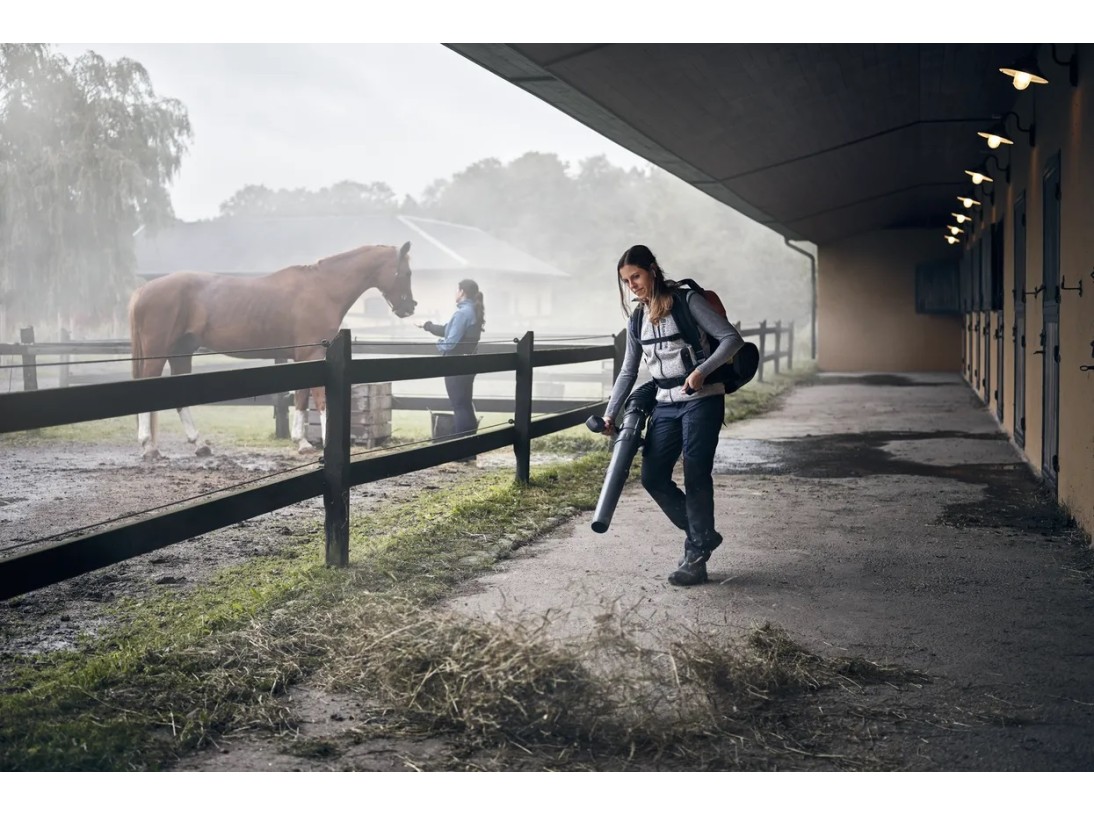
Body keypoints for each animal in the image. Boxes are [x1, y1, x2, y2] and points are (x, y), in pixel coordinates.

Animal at [127, 239, 415, 457]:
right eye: (408, 273)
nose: (410, 307)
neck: (323, 289)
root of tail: (143, 290)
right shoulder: (312, 354)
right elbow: (319, 398)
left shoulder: (304, 358)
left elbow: (301, 397)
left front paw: (302, 442)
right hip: (158, 352)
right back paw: (148, 446)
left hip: (181, 352)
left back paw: (199, 444)